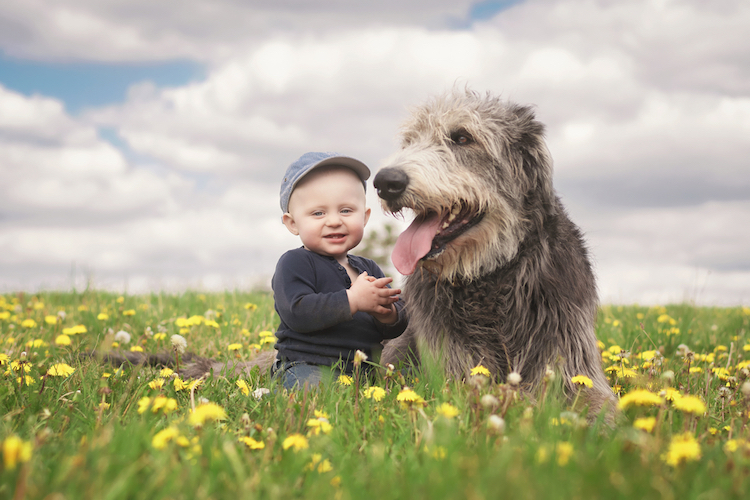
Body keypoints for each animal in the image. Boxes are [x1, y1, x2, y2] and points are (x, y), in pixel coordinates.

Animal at [374, 89, 616, 418]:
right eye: (409, 142)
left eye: (462, 138)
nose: (385, 182)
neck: (489, 277)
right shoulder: (452, 368)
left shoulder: (571, 352)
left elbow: (596, 405)